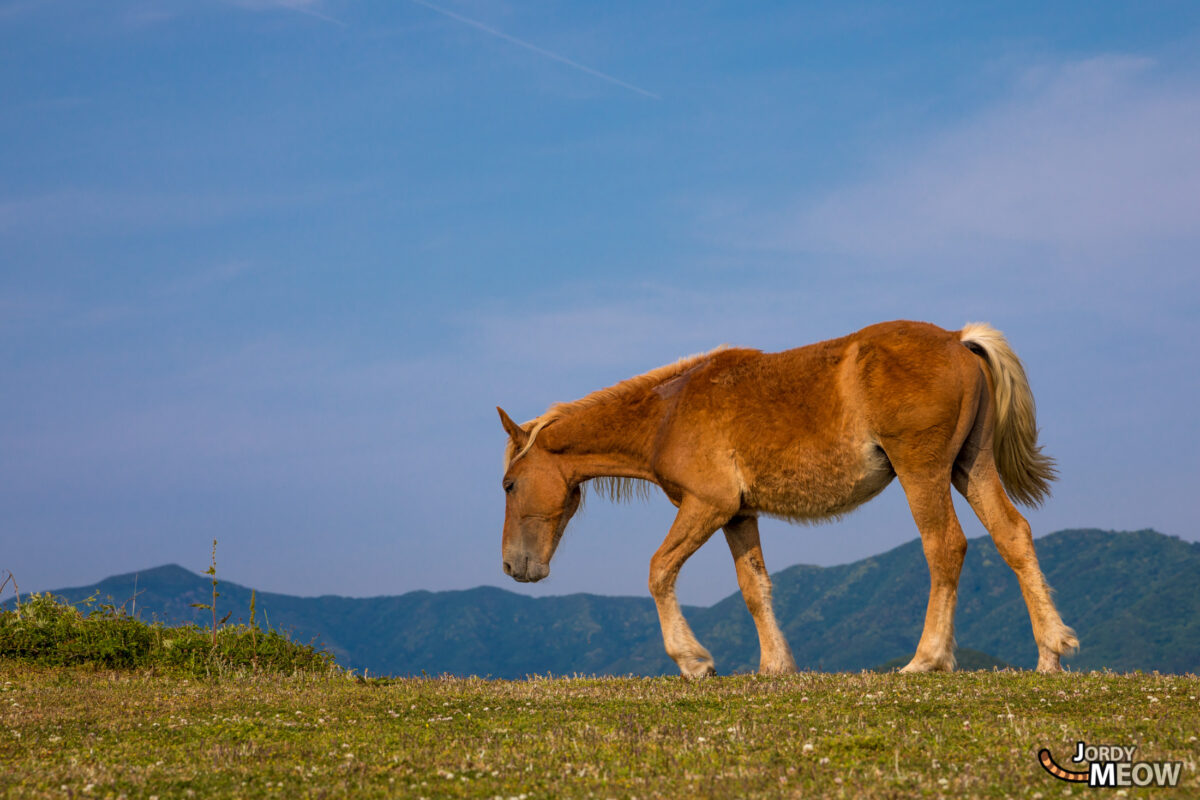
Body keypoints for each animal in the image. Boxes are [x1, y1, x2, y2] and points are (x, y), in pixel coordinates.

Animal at [496, 319, 1080, 676]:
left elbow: (660, 570)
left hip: (924, 473)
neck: (669, 412)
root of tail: (958, 339)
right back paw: (1050, 650)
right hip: (970, 468)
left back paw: (927, 658)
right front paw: (775, 665)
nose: (513, 565)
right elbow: (755, 588)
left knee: (945, 547)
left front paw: (694, 661)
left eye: (508, 484)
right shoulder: (738, 515)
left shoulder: (706, 506)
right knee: (1012, 535)